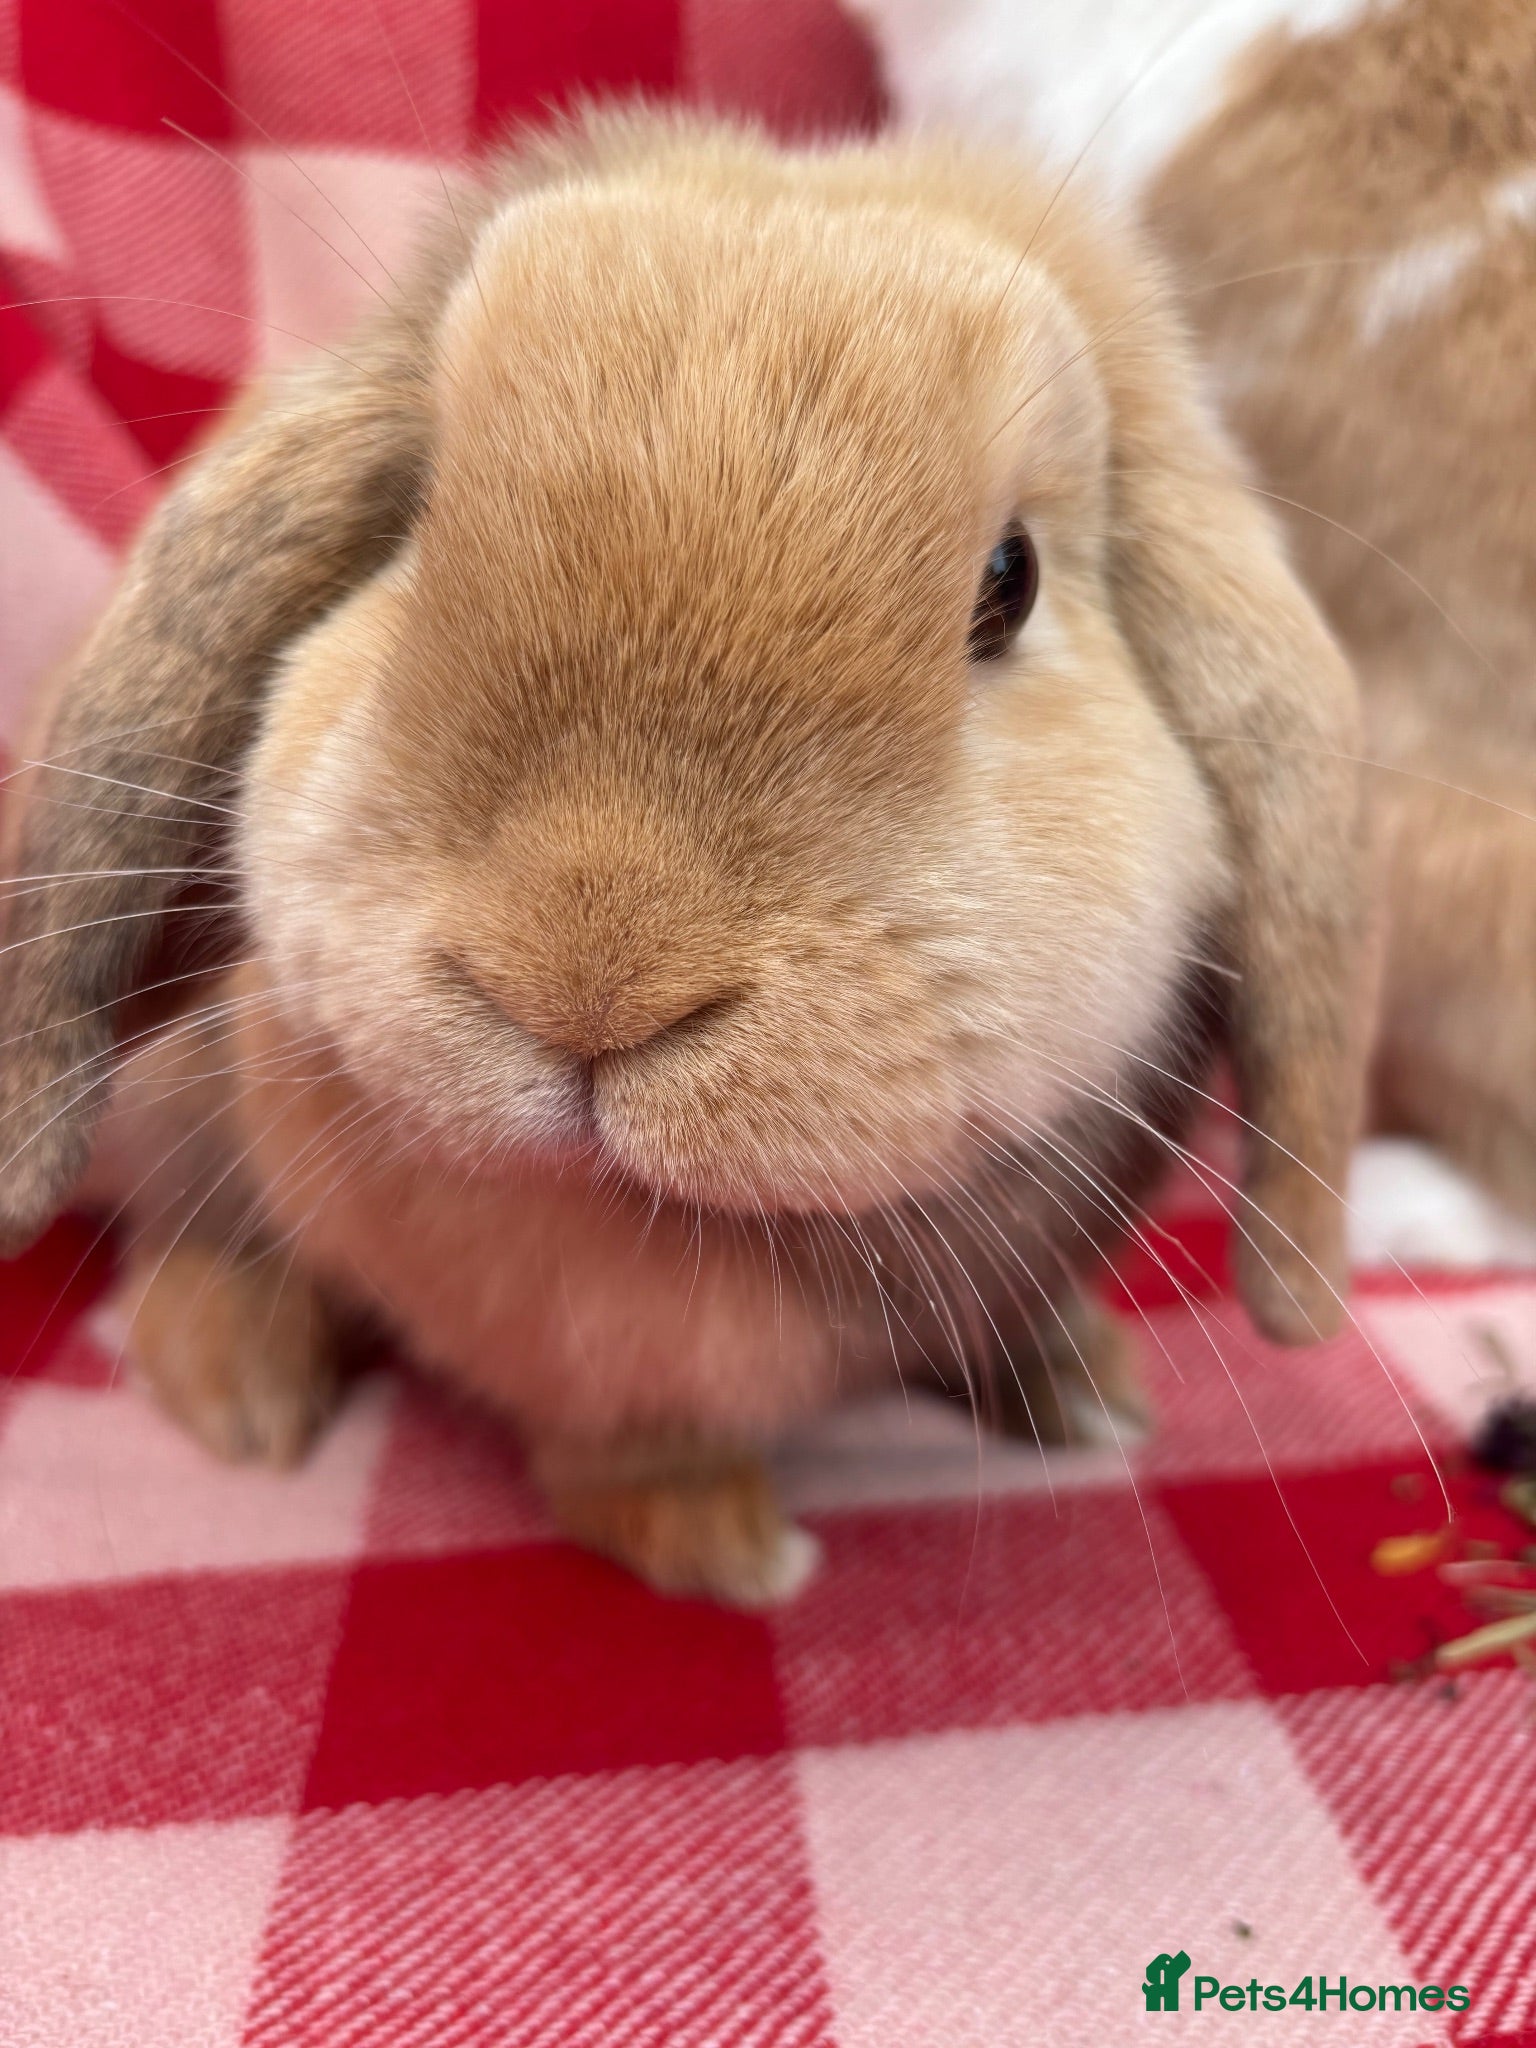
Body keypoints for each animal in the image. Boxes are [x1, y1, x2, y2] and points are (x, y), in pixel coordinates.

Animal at [0, 105, 1365, 1605]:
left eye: (1011, 584)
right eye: (416, 519)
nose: (584, 982)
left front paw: (1083, 1385)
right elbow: (625, 1439)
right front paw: (724, 1545)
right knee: (180, 1237)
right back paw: (246, 1380)